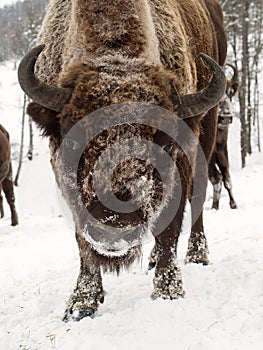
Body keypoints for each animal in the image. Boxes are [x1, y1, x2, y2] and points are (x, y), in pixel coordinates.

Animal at [18, 0, 227, 320]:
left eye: (165, 143)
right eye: (74, 140)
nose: (115, 225)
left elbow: (170, 225)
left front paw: (168, 291)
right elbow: (82, 240)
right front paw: (81, 303)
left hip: (208, 131)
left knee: (198, 196)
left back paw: (197, 254)